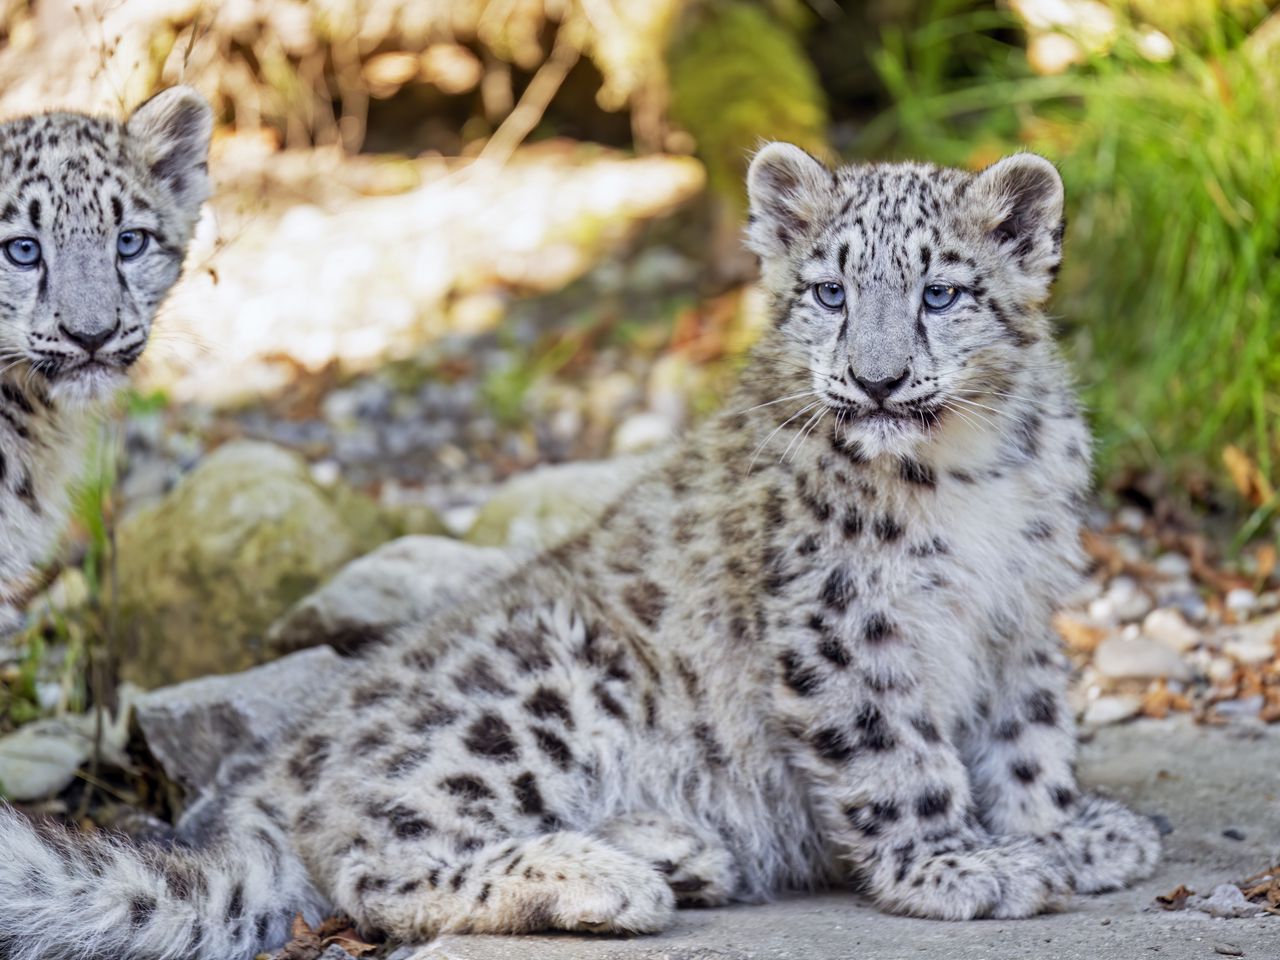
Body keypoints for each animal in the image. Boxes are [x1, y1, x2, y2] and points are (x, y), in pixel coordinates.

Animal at [0, 143, 1160, 960]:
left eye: (940, 293)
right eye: (831, 292)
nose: (876, 381)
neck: (969, 476)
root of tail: (258, 797)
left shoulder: (1020, 610)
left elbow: (1028, 737)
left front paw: (1066, 833)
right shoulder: (839, 619)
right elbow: (898, 754)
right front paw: (956, 864)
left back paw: (674, 850)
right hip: (541, 687)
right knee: (373, 857)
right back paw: (606, 881)